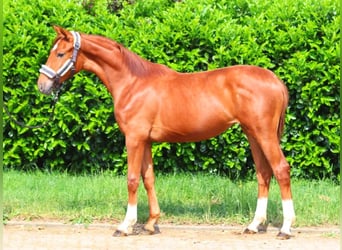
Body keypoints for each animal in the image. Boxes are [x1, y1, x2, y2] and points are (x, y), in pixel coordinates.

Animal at [36, 26, 294, 239]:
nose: (42, 86)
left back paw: (285, 228)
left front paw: (125, 225)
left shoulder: (134, 138)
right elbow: (148, 178)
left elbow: (132, 179)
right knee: (263, 173)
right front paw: (151, 224)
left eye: (60, 54)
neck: (132, 83)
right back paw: (254, 225)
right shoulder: (146, 141)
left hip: (264, 134)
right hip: (253, 134)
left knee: (281, 169)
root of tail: (275, 80)